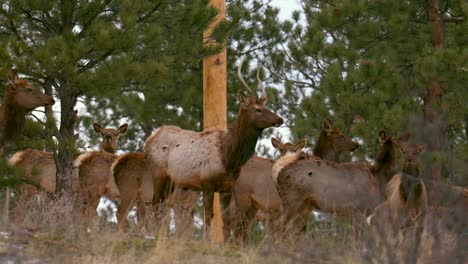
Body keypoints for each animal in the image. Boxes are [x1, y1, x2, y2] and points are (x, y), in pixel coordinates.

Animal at [143, 58, 284, 234]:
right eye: (258, 109)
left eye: (266, 106)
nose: (279, 119)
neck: (229, 157)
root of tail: (149, 141)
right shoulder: (206, 183)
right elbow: (208, 216)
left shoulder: (227, 188)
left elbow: (226, 221)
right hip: (159, 174)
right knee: (155, 204)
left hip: (173, 182)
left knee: (161, 205)